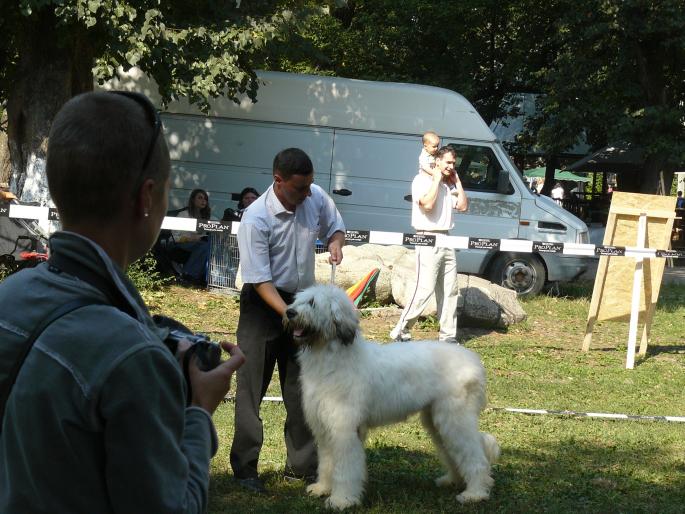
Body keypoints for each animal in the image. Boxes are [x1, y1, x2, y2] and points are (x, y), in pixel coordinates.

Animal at [280, 284, 500, 508]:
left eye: (312, 303)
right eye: (298, 300)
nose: (289, 312)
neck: (331, 356)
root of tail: (474, 361)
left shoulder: (345, 429)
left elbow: (345, 468)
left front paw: (343, 499)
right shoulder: (324, 428)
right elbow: (326, 462)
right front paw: (323, 488)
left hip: (455, 418)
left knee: (474, 456)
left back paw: (475, 493)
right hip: (437, 420)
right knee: (453, 452)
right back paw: (453, 481)